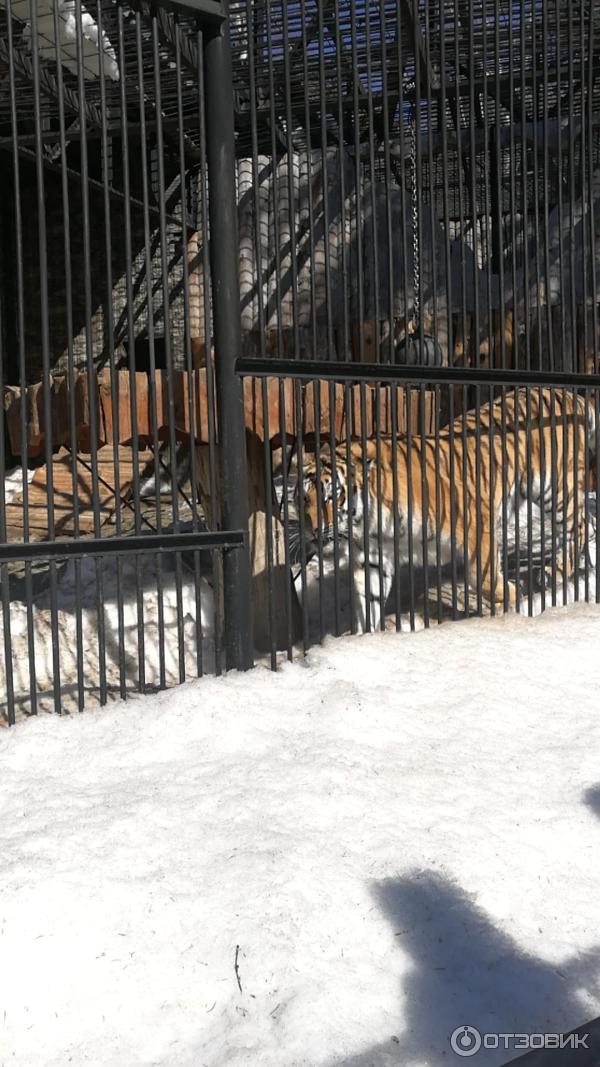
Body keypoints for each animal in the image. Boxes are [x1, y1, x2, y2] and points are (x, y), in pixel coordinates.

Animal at [296, 388, 593, 627]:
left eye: (331, 497)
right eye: (303, 499)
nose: (312, 531)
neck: (370, 522)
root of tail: (575, 397)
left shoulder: (476, 522)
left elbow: (483, 577)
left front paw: (510, 595)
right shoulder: (374, 557)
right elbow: (367, 602)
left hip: (556, 487)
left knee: (579, 526)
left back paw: (553, 572)